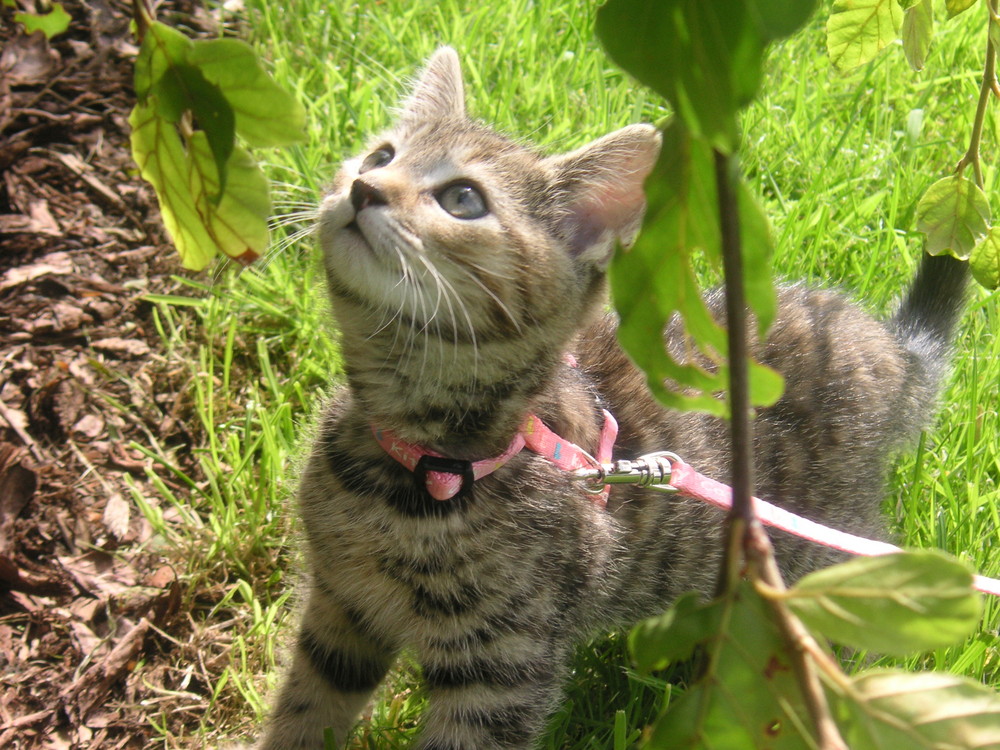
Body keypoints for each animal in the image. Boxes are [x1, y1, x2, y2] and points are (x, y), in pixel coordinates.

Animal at [252, 50, 968, 748]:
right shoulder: (341, 608)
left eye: (462, 198)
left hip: (821, 558)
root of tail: (885, 348)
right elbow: (305, 711)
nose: (364, 188)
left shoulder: (503, 666)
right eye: (382, 155)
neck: (422, 463)